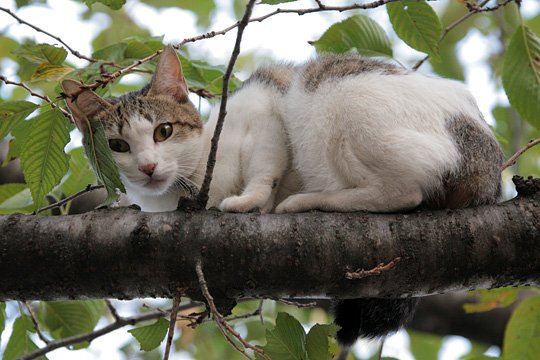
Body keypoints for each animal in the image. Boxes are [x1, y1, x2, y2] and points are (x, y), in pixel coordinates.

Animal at [62, 46, 502, 350]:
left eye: (163, 131)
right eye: (117, 146)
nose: (149, 167)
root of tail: (488, 162)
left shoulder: (265, 101)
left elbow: (264, 168)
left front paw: (250, 201)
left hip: (339, 103)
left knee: (403, 192)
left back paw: (308, 200)